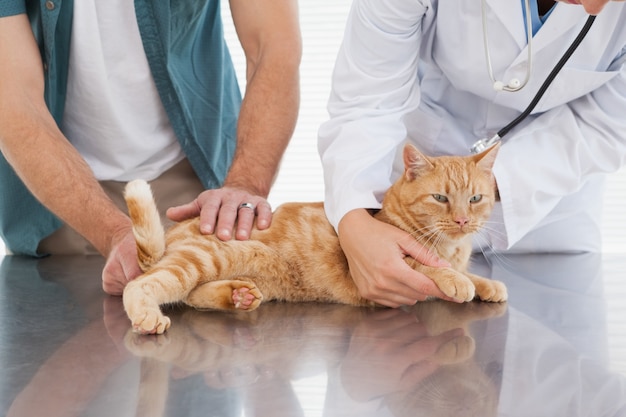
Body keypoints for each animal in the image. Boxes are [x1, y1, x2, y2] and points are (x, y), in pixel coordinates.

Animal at [123, 145, 508, 334]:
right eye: (440, 198)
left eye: (475, 199)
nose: (462, 220)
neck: (451, 245)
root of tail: (175, 233)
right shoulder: (389, 262)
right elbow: (427, 266)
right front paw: (455, 279)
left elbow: (468, 272)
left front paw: (487, 284)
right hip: (204, 257)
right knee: (145, 285)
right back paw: (148, 317)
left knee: (191, 295)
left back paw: (237, 295)